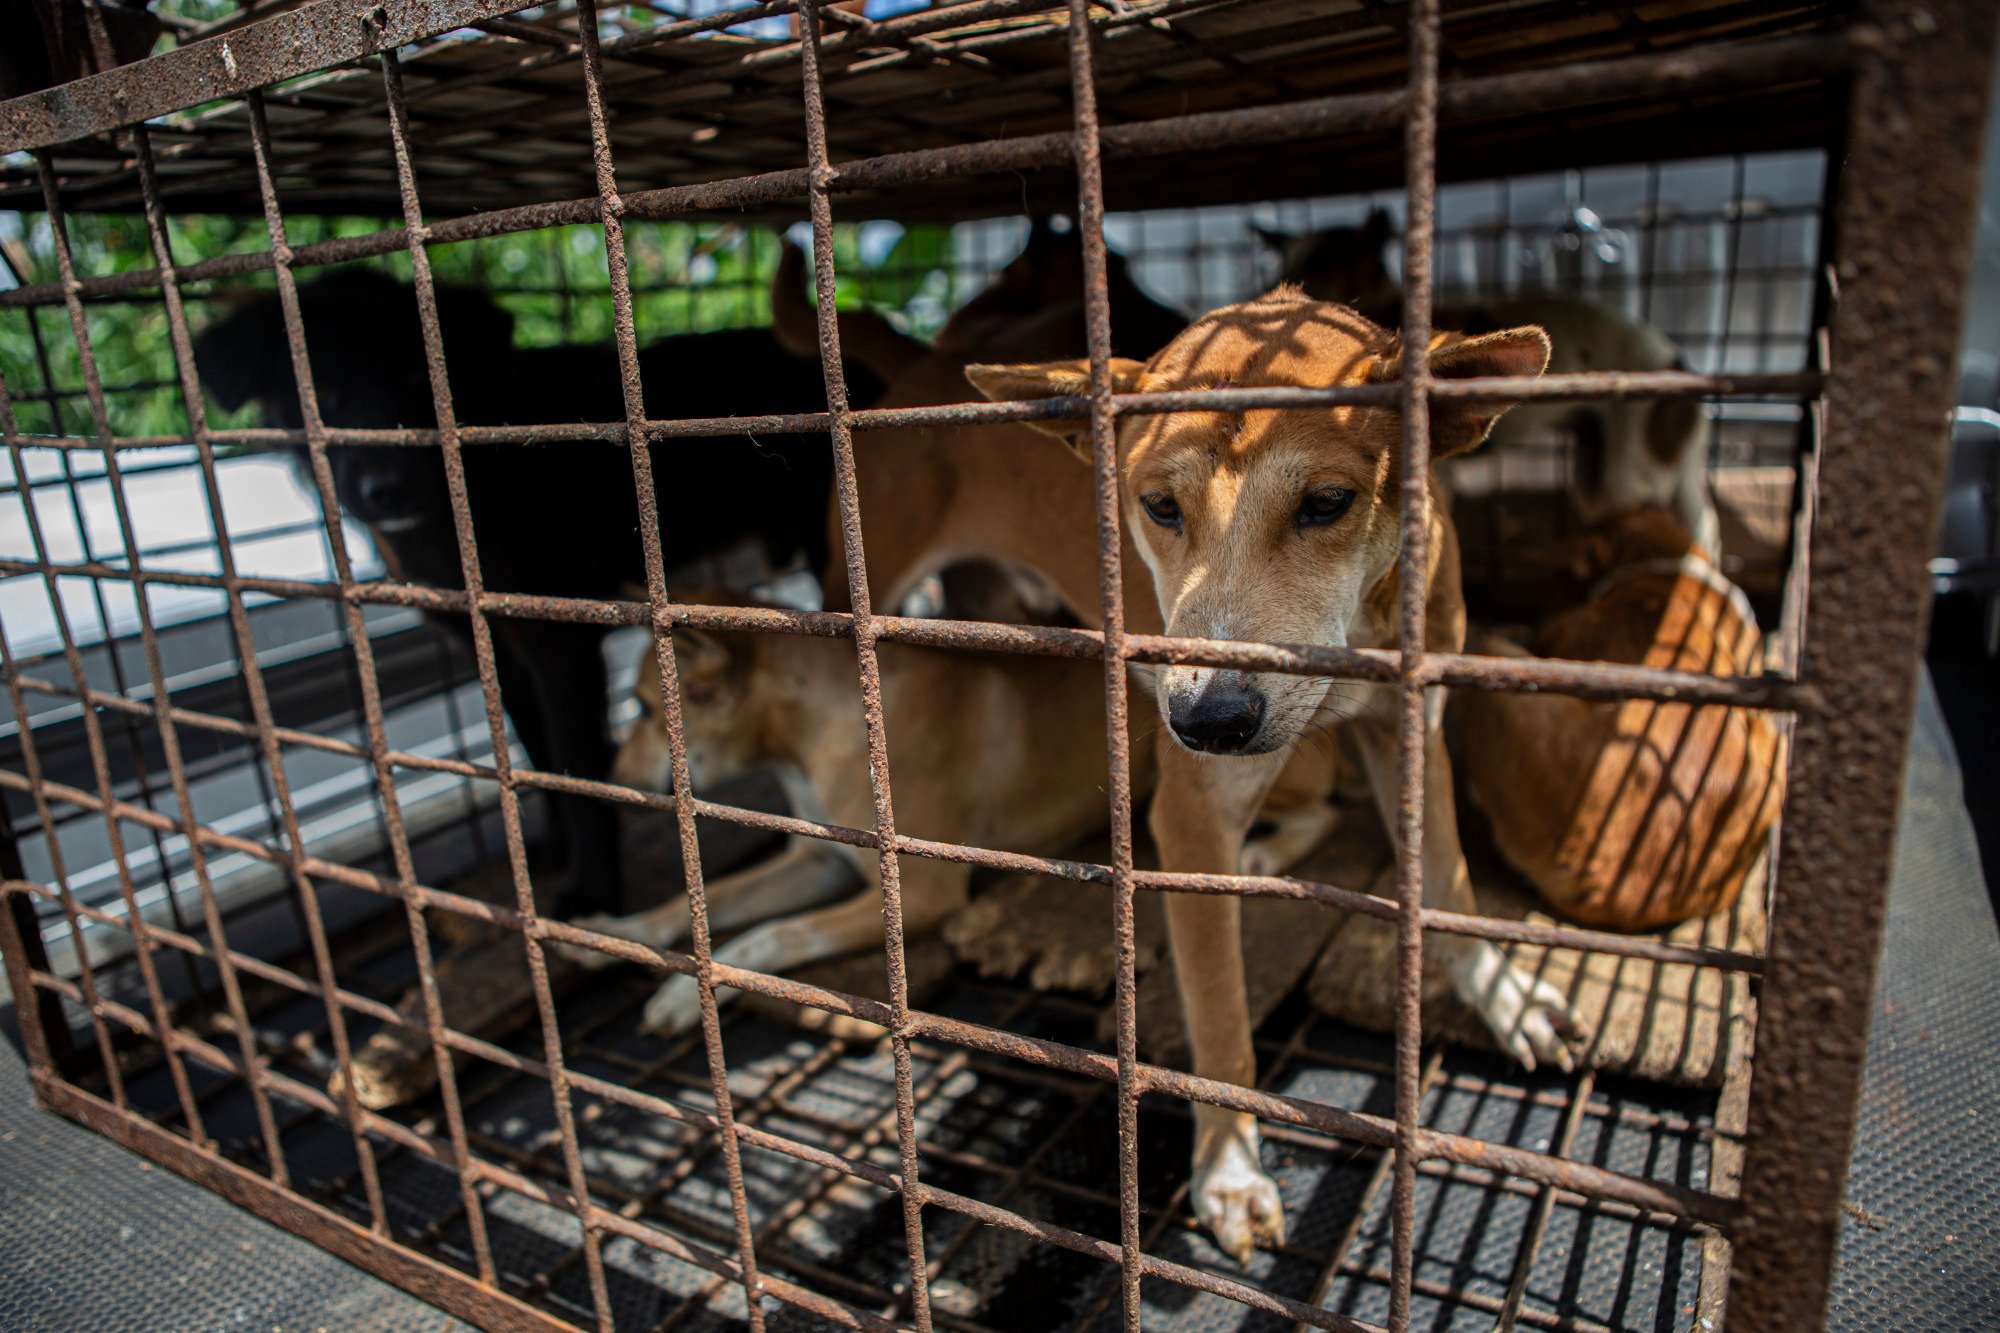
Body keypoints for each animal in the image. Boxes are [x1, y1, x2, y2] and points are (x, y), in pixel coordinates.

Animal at [197, 270, 884, 912]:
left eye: (417, 380)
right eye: (325, 395)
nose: (386, 489)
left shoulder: (560, 646)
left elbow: (579, 766)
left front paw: (592, 887)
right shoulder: (497, 642)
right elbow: (538, 750)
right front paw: (555, 847)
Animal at [976, 288, 1584, 1256]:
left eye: (1327, 502)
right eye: (1159, 505)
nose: (1208, 719)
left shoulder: (1411, 731)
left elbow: (1446, 884)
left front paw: (1502, 995)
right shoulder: (1190, 812)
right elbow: (1221, 1009)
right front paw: (1228, 1165)